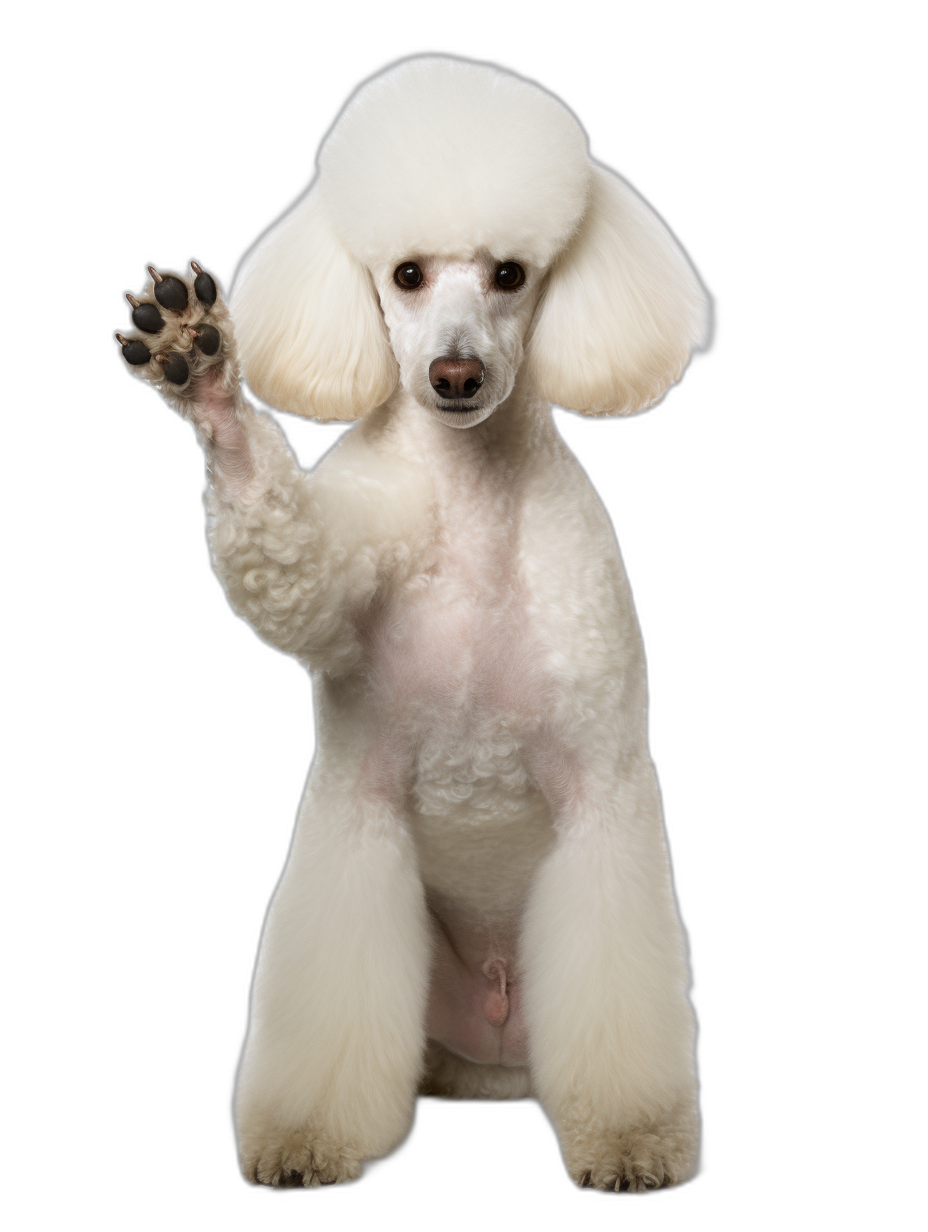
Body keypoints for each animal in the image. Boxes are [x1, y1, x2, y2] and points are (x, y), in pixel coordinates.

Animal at [113, 52, 709, 1187]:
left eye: (511, 273)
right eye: (406, 275)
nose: (455, 374)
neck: (470, 508)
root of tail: (490, 1065)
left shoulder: (602, 797)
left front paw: (631, 1140)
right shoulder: (335, 595)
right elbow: (284, 563)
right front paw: (198, 362)